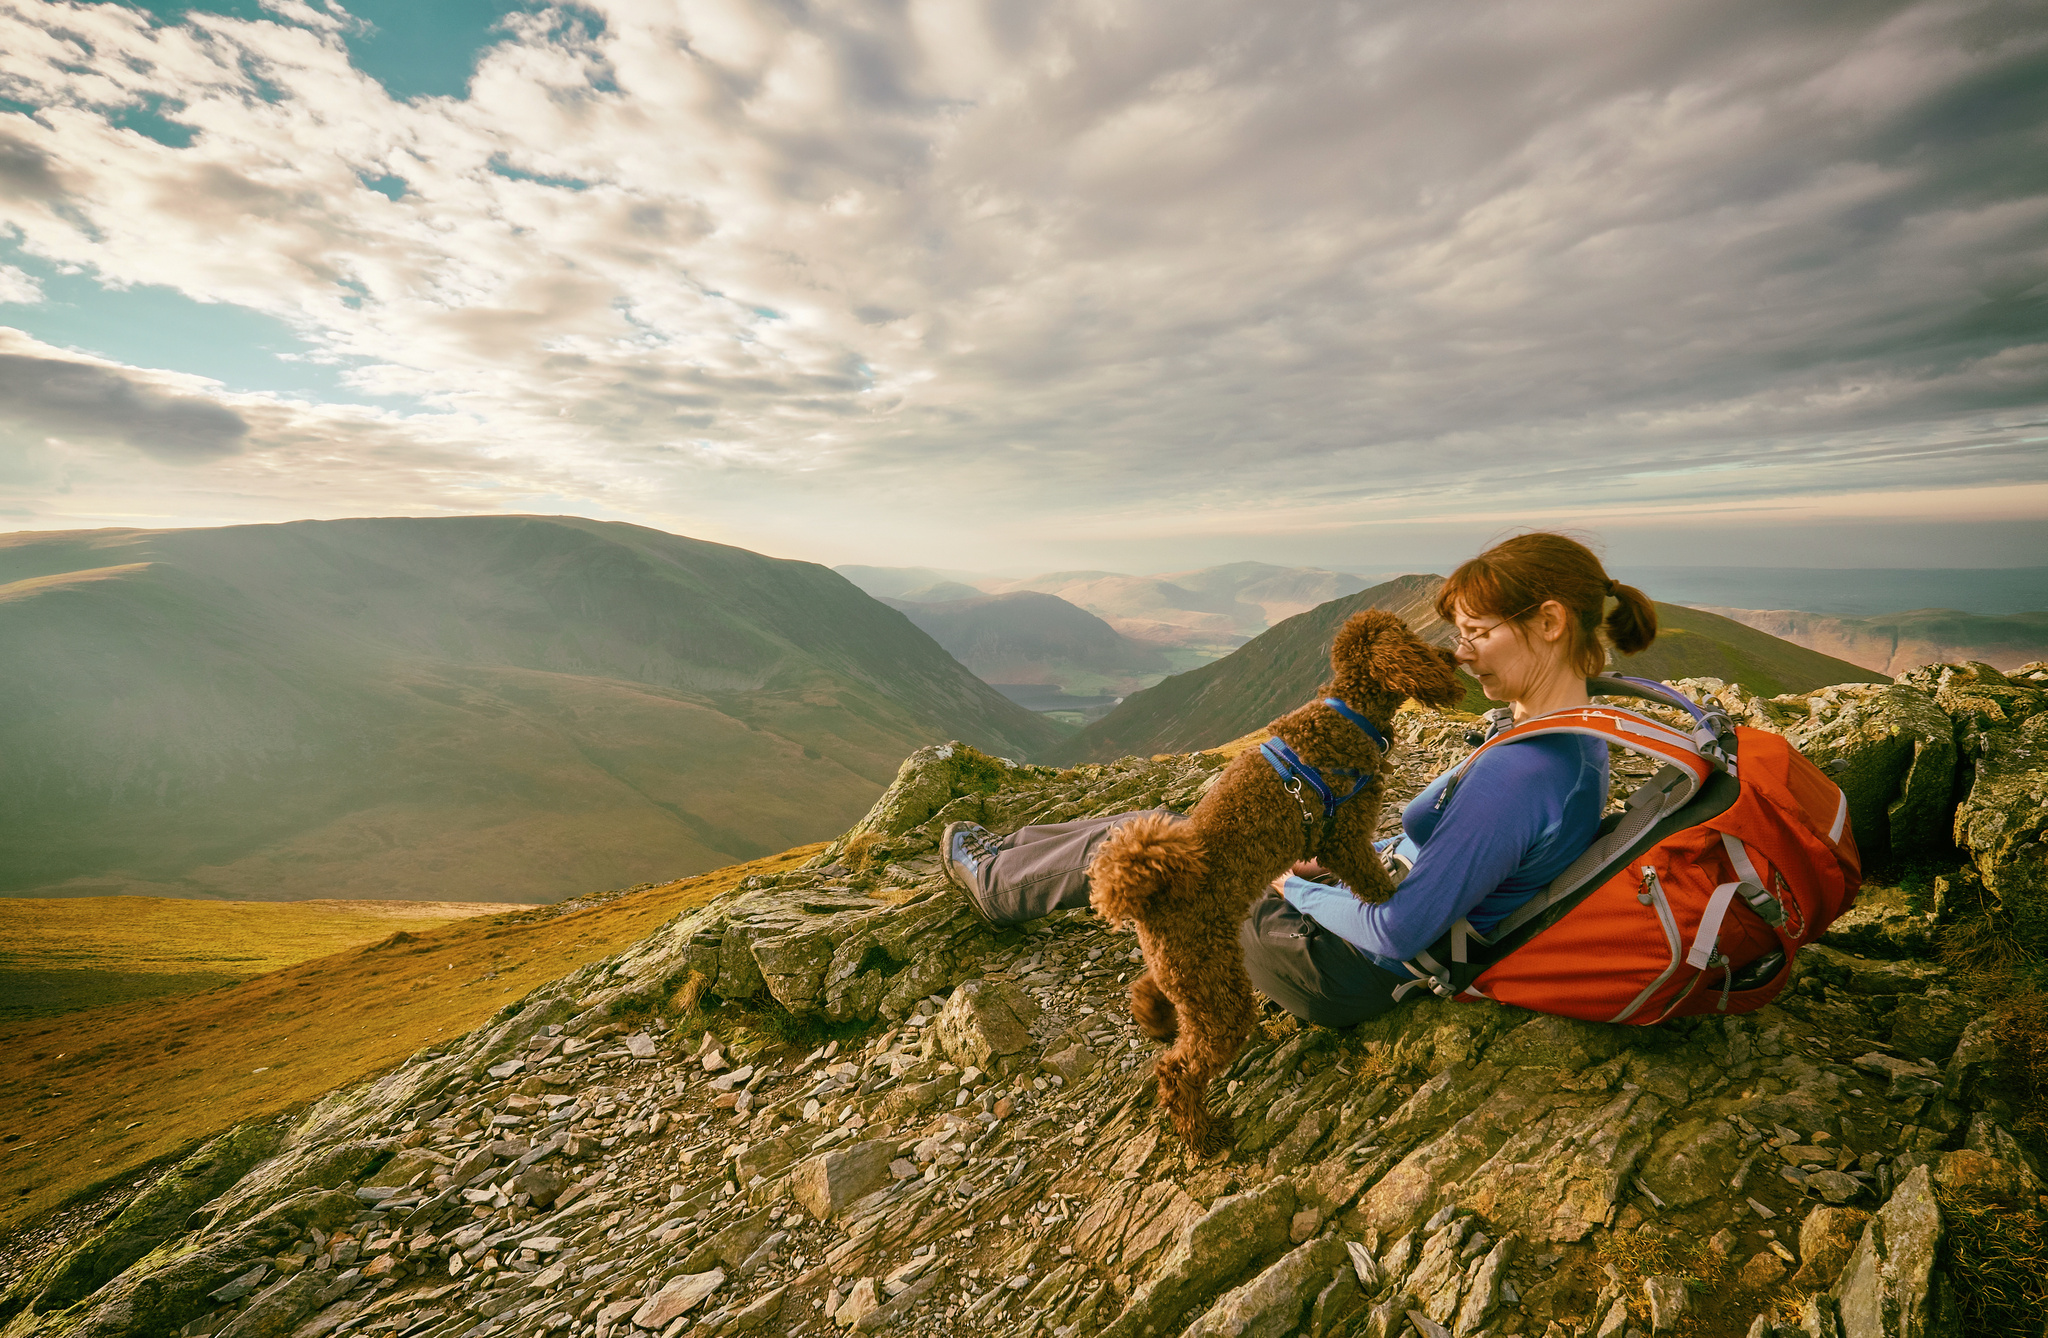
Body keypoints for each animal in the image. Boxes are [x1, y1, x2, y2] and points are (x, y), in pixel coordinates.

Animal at [1089, 610, 1458, 1155]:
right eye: (1413, 641)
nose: (1451, 655)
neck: (1347, 713)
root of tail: (1148, 897)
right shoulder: (1344, 840)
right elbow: (1378, 890)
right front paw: (1403, 912)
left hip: (1193, 974)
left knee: (1151, 994)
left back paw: (1158, 1021)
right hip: (1217, 992)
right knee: (1178, 1070)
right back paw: (1200, 1133)